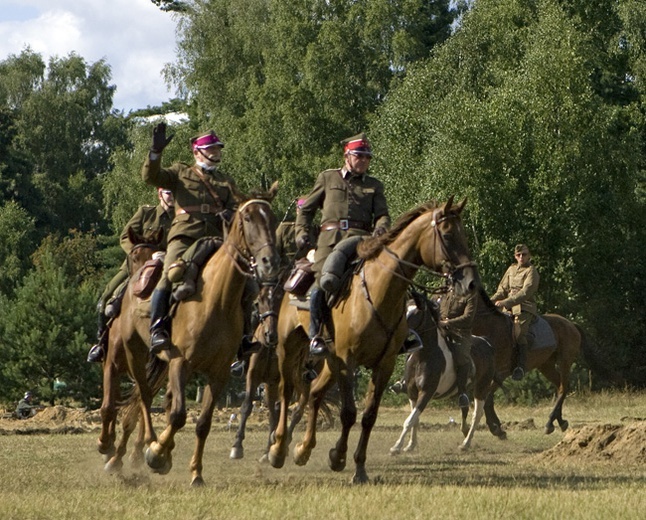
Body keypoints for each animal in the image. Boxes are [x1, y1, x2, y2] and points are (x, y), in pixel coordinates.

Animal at [98, 225, 166, 470]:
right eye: (134, 256)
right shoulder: (110, 364)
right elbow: (109, 407)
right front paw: (106, 444)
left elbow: (132, 412)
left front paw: (110, 448)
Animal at [121, 197, 280, 486]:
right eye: (248, 218)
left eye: (272, 219)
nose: (269, 261)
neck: (216, 300)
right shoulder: (180, 363)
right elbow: (178, 415)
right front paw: (156, 454)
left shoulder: (218, 374)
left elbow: (203, 422)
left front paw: (195, 472)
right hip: (135, 352)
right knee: (145, 397)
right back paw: (147, 445)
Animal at [270, 198, 480, 484]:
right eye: (447, 234)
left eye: (464, 235)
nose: (471, 283)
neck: (380, 293)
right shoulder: (347, 361)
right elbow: (349, 413)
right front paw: (338, 457)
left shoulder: (383, 364)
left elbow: (369, 415)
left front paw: (358, 467)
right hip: (289, 349)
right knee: (285, 391)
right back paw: (278, 449)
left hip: (329, 361)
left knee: (313, 393)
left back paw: (303, 450)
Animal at [390, 292, 496, 456]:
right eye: (405, 308)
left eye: (417, 312)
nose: (400, 330)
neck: (423, 356)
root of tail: (486, 342)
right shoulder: (412, 393)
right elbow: (415, 419)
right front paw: (410, 445)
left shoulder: (426, 392)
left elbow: (410, 420)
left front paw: (396, 447)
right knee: (465, 406)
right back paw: (464, 433)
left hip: (481, 388)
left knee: (476, 415)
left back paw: (465, 444)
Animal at [474, 286, 596, 436]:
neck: (490, 327)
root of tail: (571, 324)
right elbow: (487, 398)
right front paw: (496, 427)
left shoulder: (502, 372)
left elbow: (488, 398)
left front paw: (496, 428)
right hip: (546, 366)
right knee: (559, 385)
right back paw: (560, 421)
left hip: (565, 361)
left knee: (563, 387)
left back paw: (550, 422)